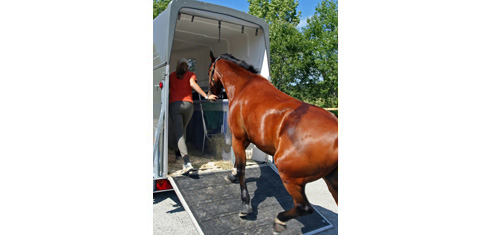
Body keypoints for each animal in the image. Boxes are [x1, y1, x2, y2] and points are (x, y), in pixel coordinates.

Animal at [208, 50, 338, 232]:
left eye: (209, 71)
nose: (210, 94)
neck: (244, 87)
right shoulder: (246, 139)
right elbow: (238, 166)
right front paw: (231, 176)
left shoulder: (238, 138)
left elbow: (241, 169)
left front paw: (245, 205)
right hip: (332, 181)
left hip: (290, 177)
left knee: (304, 207)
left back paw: (279, 220)